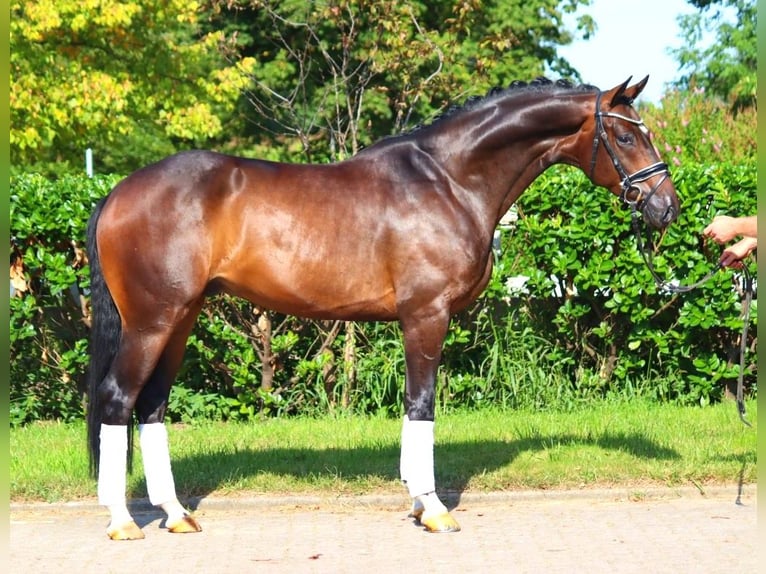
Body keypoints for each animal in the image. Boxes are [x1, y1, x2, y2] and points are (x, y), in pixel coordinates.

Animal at [87, 76, 680, 540]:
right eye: (625, 135)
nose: (667, 206)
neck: (450, 180)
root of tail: (117, 193)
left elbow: (413, 406)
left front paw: (418, 502)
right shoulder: (427, 314)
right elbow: (422, 404)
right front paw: (434, 509)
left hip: (180, 319)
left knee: (152, 406)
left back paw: (175, 513)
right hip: (153, 321)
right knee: (118, 399)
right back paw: (122, 520)